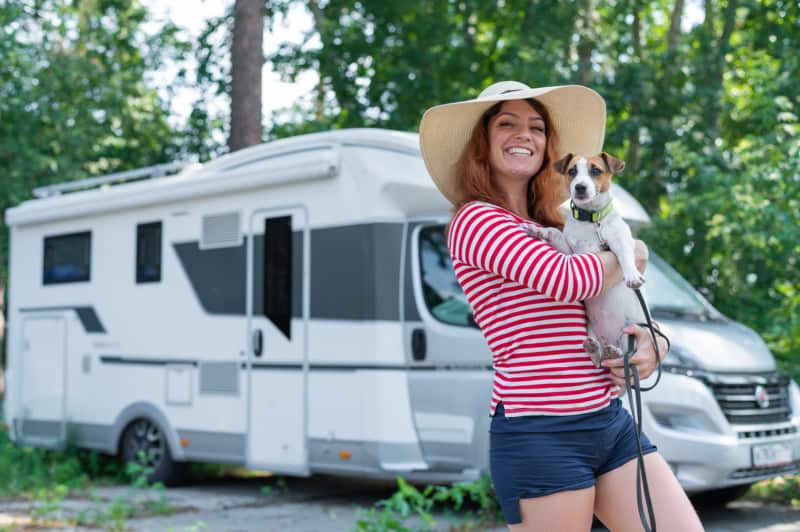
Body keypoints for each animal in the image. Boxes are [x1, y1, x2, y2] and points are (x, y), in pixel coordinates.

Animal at [524, 154, 648, 368]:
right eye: (572, 171)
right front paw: (540, 231)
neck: (592, 219)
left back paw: (613, 352)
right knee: (600, 360)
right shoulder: (571, 252)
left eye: (596, 170)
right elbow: (555, 233)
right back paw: (596, 350)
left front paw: (632, 275)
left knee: (625, 357)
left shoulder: (621, 239)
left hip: (629, 333)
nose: (580, 187)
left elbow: (625, 255)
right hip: (592, 329)